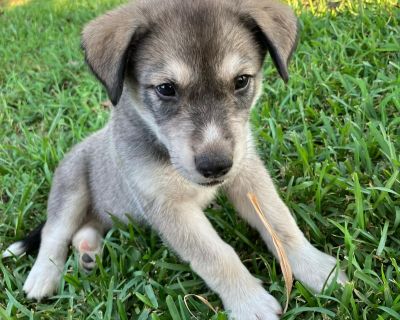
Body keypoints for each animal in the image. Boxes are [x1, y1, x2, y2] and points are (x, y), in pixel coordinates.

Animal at [2, 1, 346, 318]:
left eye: (241, 81)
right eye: (166, 88)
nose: (215, 166)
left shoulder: (247, 174)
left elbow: (280, 222)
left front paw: (317, 269)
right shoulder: (169, 207)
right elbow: (216, 255)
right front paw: (249, 302)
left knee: (85, 228)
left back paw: (88, 252)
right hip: (72, 185)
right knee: (55, 232)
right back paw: (42, 277)